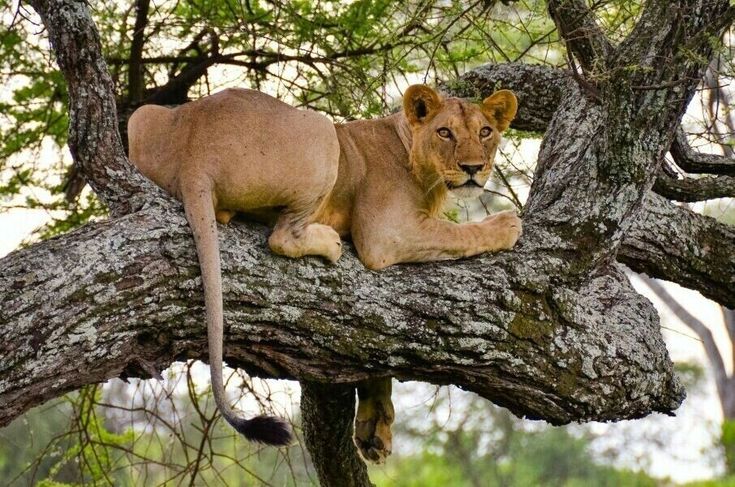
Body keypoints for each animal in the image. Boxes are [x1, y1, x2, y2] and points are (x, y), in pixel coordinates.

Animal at [127, 84, 520, 463]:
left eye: (485, 132)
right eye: (444, 132)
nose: (474, 168)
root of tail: (194, 154)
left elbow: (377, 356)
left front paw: (374, 429)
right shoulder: (385, 234)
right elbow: (456, 232)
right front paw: (507, 225)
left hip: (140, 116)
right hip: (323, 133)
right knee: (283, 235)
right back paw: (330, 242)